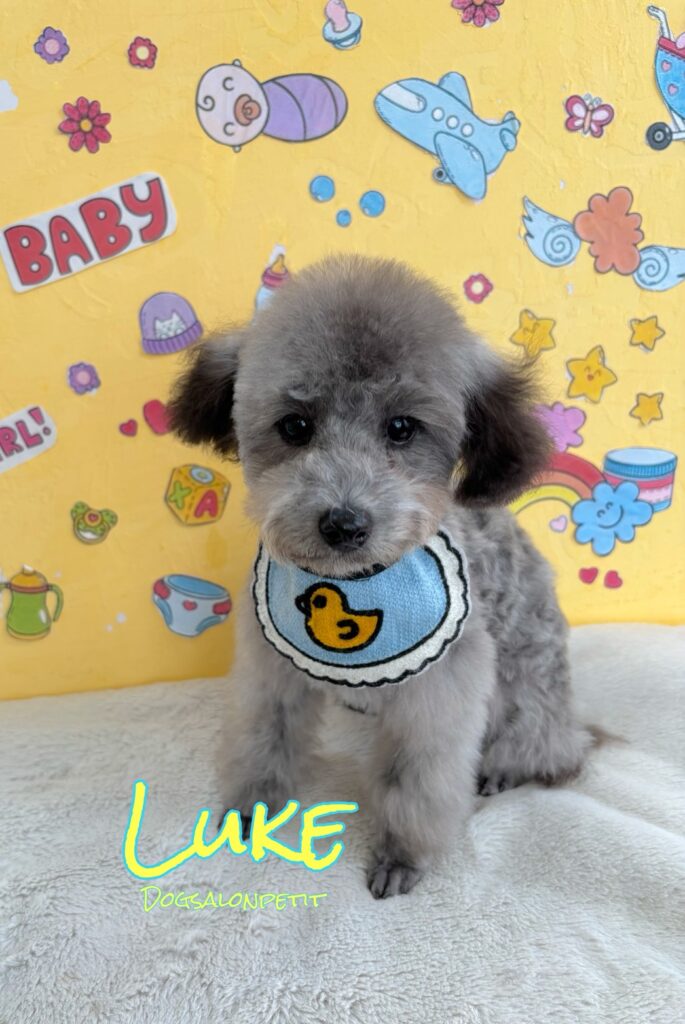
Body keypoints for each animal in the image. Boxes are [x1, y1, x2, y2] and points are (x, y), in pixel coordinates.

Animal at [169, 255, 593, 898]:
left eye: (402, 427)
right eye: (295, 426)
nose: (343, 524)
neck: (354, 580)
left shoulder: (443, 687)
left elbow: (414, 778)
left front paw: (401, 855)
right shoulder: (270, 665)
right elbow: (265, 736)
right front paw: (252, 811)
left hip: (527, 686)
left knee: (548, 748)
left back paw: (505, 769)